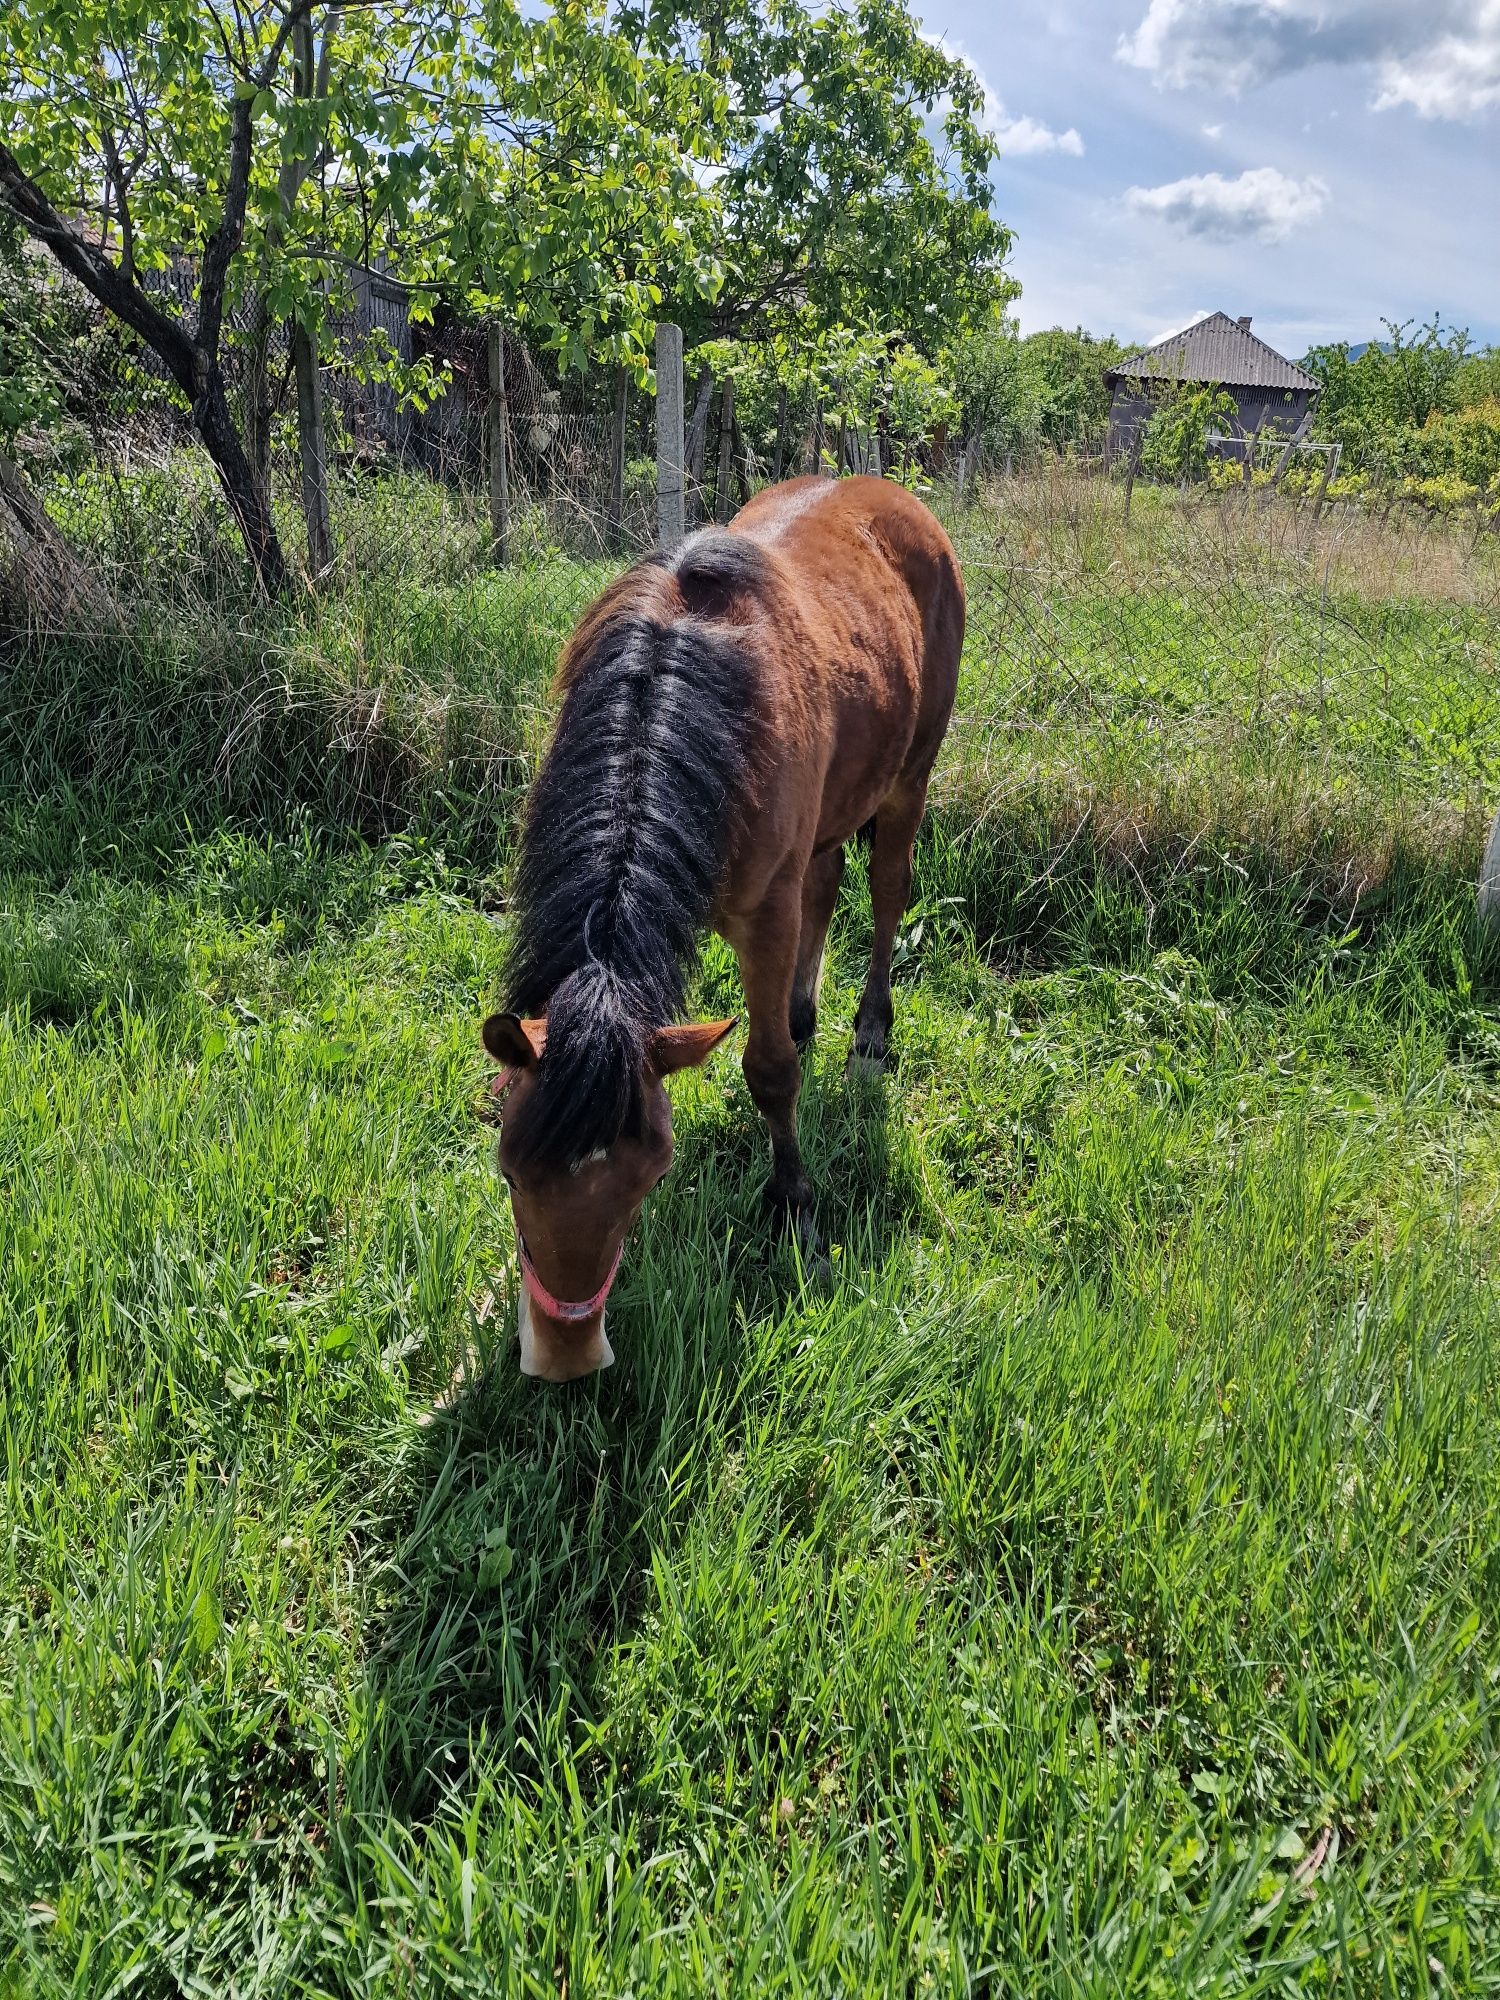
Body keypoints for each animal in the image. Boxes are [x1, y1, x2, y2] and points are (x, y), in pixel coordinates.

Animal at [488, 472, 968, 1376]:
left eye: (650, 1177)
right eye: (509, 1171)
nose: (568, 1358)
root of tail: (899, 498)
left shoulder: (764, 912)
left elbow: (770, 1072)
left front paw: (795, 1208)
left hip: (910, 776)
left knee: (887, 891)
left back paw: (868, 1038)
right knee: (828, 880)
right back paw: (807, 1012)